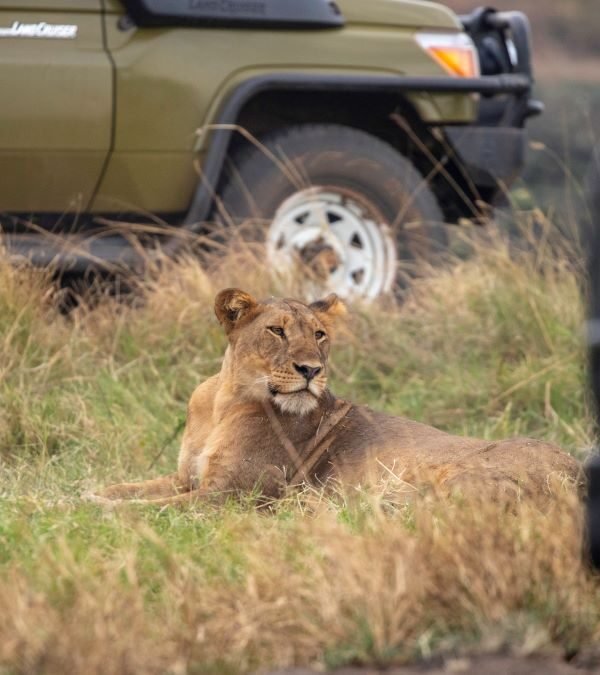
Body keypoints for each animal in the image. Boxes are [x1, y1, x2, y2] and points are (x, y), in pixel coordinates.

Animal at [94, 288, 580, 507]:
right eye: (277, 330)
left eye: (319, 335)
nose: (311, 370)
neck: (224, 402)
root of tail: (576, 471)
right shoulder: (187, 479)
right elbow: (130, 488)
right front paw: (89, 494)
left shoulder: (237, 493)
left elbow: (149, 508)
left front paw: (102, 511)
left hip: (455, 478)